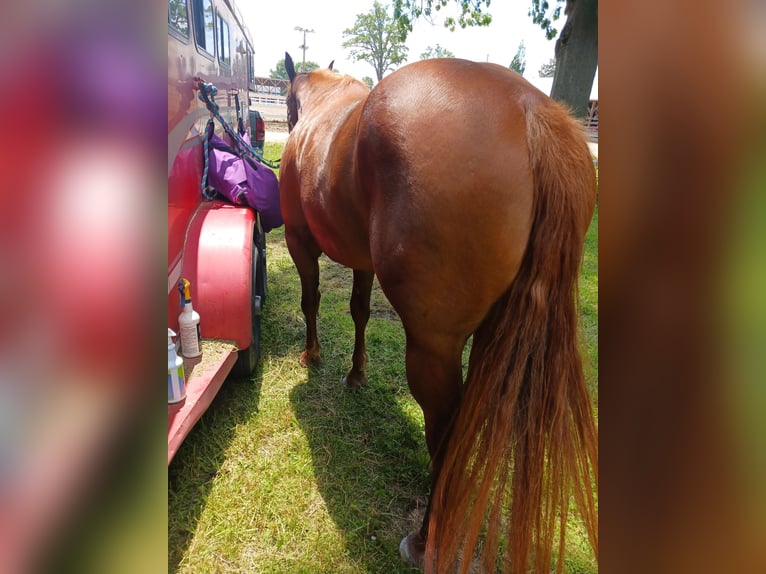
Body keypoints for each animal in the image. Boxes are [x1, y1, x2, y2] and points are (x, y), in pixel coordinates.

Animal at [279, 52, 598, 573]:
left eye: (288, 106)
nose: (286, 124)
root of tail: (530, 111)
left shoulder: (298, 240)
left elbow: (312, 300)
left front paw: (313, 356)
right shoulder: (362, 262)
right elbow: (360, 311)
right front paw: (356, 374)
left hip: (433, 348)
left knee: (446, 432)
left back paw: (426, 538)